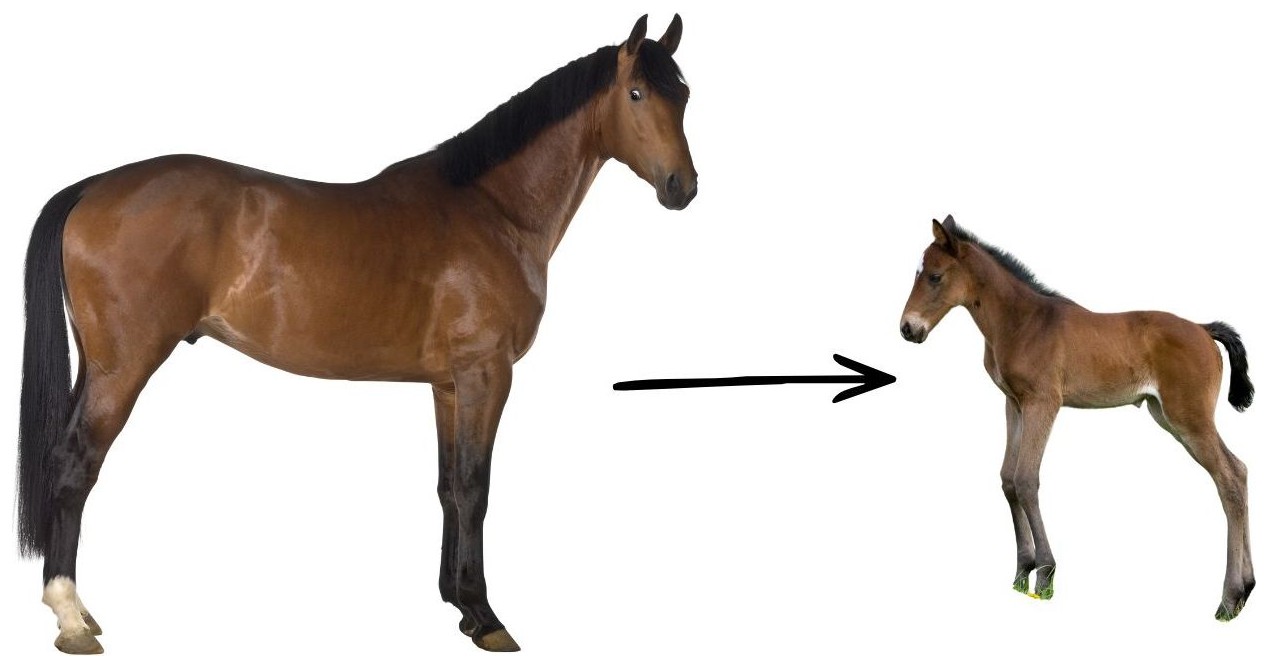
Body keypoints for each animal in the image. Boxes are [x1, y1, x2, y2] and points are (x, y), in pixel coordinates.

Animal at [18, 14, 696, 654]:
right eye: (637, 93)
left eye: (684, 93)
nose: (682, 188)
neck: (493, 210)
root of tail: (92, 188)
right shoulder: (487, 374)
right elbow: (475, 488)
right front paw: (486, 617)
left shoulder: (448, 386)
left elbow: (448, 488)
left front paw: (458, 605)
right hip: (123, 368)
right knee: (76, 464)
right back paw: (72, 619)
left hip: (96, 365)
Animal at [899, 216, 1254, 620]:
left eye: (935, 277)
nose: (908, 328)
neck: (1024, 322)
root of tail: (1203, 328)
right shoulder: (1014, 404)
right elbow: (1008, 479)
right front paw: (1021, 572)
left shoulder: (1043, 403)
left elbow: (1026, 479)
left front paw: (1045, 575)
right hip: (1165, 415)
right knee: (1239, 471)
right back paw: (1245, 590)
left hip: (1189, 418)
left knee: (1229, 479)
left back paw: (1229, 597)